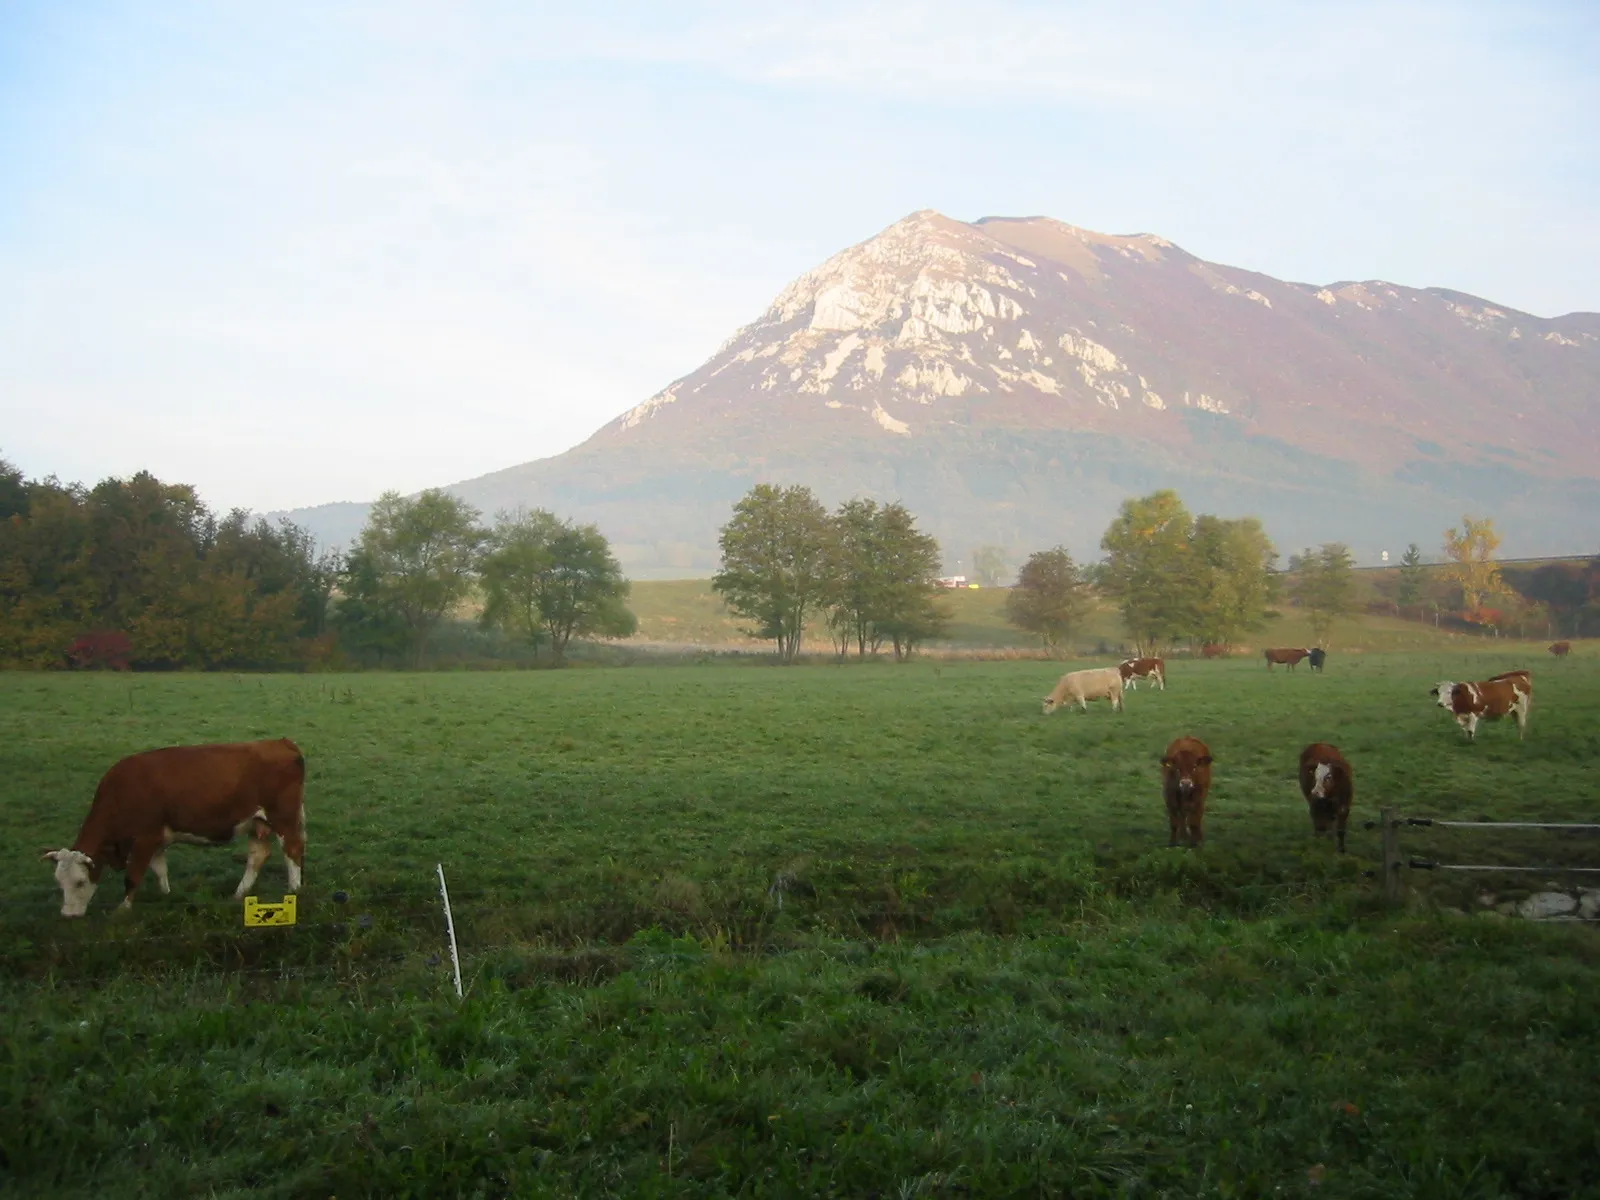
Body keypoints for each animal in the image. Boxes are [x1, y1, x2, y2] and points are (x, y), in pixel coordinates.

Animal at [39, 732, 307, 921]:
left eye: (80, 882)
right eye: (59, 882)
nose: (68, 916)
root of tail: (281, 742)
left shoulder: (144, 838)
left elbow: (133, 877)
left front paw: (123, 909)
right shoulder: (157, 839)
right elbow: (160, 870)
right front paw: (167, 895)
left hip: (283, 817)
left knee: (292, 850)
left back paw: (294, 890)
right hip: (255, 822)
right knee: (258, 856)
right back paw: (239, 894)